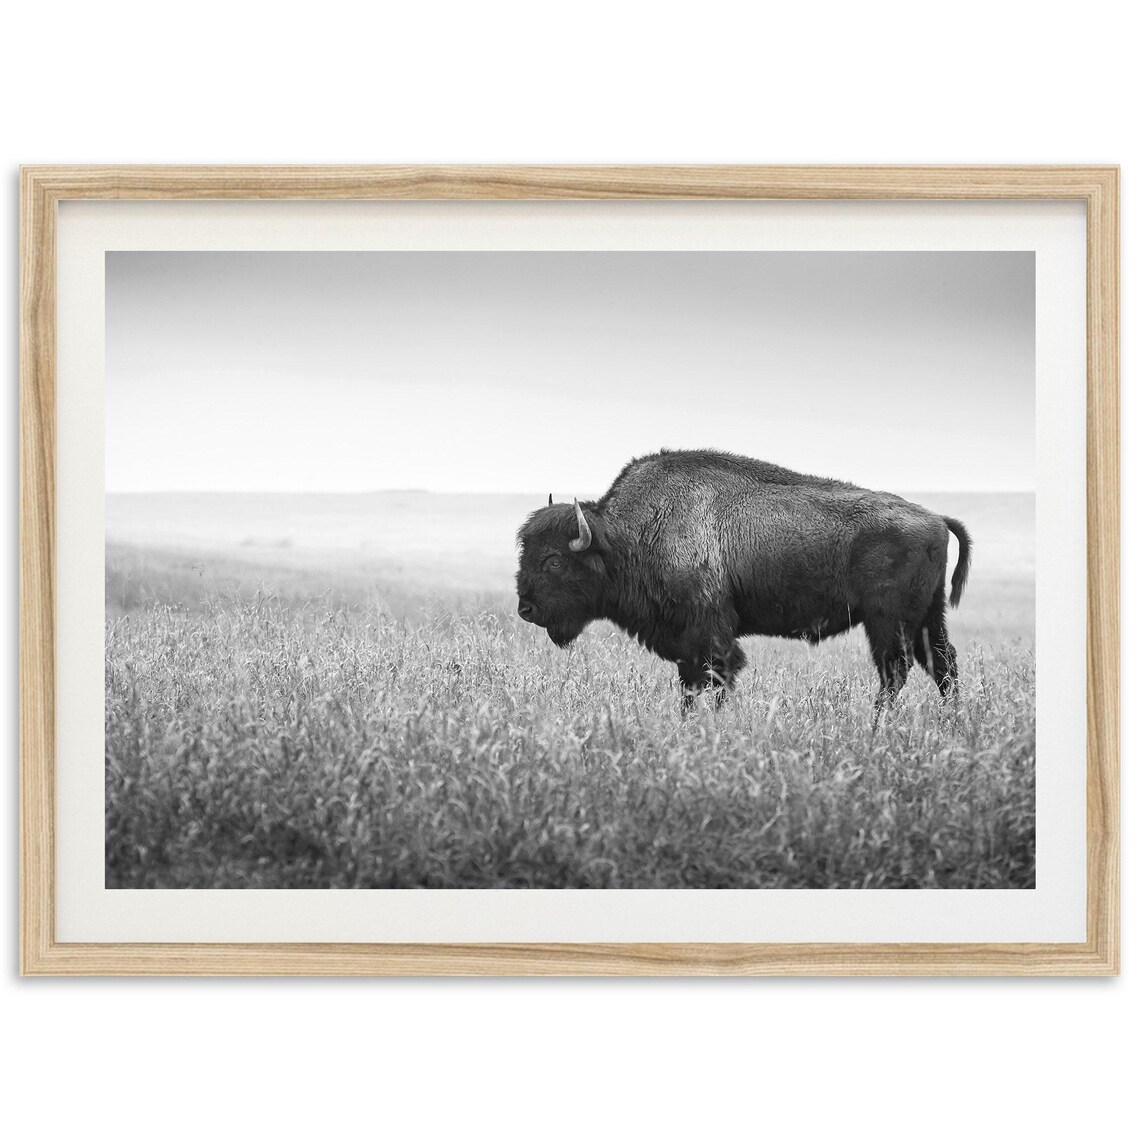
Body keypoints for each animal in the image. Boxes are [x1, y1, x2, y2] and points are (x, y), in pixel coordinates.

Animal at [515, 448, 971, 714]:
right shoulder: (686, 646)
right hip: (927, 618)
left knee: (896, 672)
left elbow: (716, 680)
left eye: (554, 561)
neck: (627, 536)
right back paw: (951, 724)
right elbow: (690, 687)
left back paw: (877, 727)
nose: (525, 609)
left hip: (887, 622)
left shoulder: (711, 636)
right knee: (942, 666)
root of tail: (935, 518)